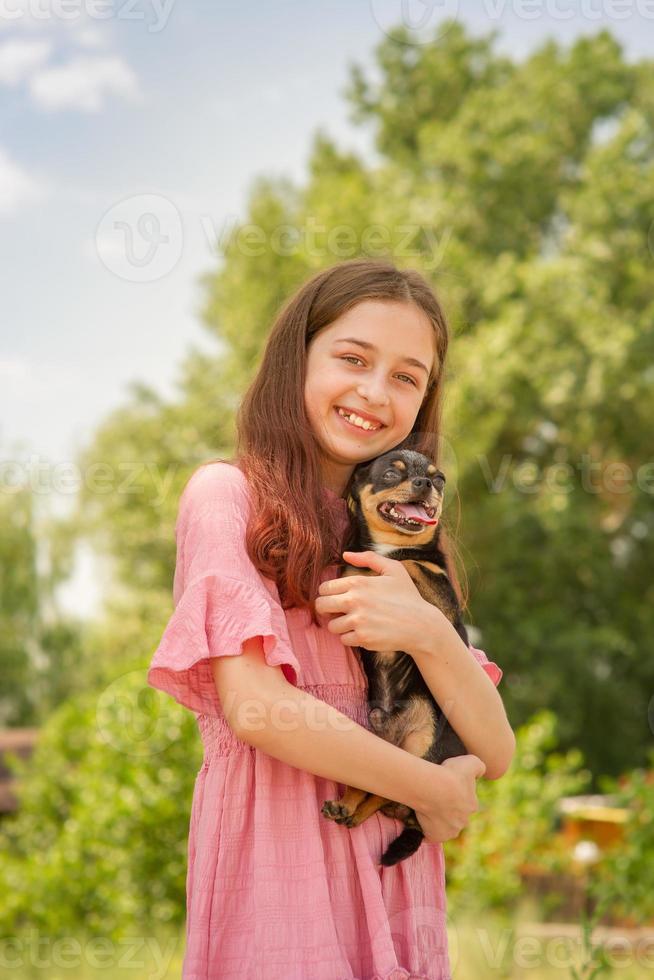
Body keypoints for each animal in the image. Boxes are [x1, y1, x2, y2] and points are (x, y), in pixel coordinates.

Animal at [322, 450, 472, 864]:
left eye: (439, 480)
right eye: (392, 474)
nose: (425, 484)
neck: (390, 546)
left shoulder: (441, 599)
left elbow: (411, 565)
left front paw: (389, 567)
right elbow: (353, 568)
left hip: (419, 747)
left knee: (390, 792)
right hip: (376, 750)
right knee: (374, 788)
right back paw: (347, 806)